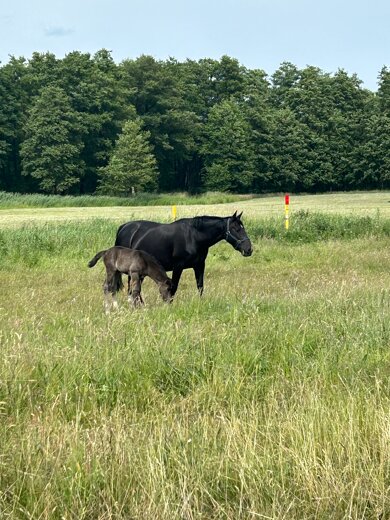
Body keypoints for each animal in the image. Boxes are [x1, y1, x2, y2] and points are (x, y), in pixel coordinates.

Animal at [114, 210, 251, 296]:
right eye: (235, 229)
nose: (249, 249)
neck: (194, 236)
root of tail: (123, 227)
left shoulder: (199, 265)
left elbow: (200, 286)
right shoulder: (178, 266)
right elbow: (173, 288)